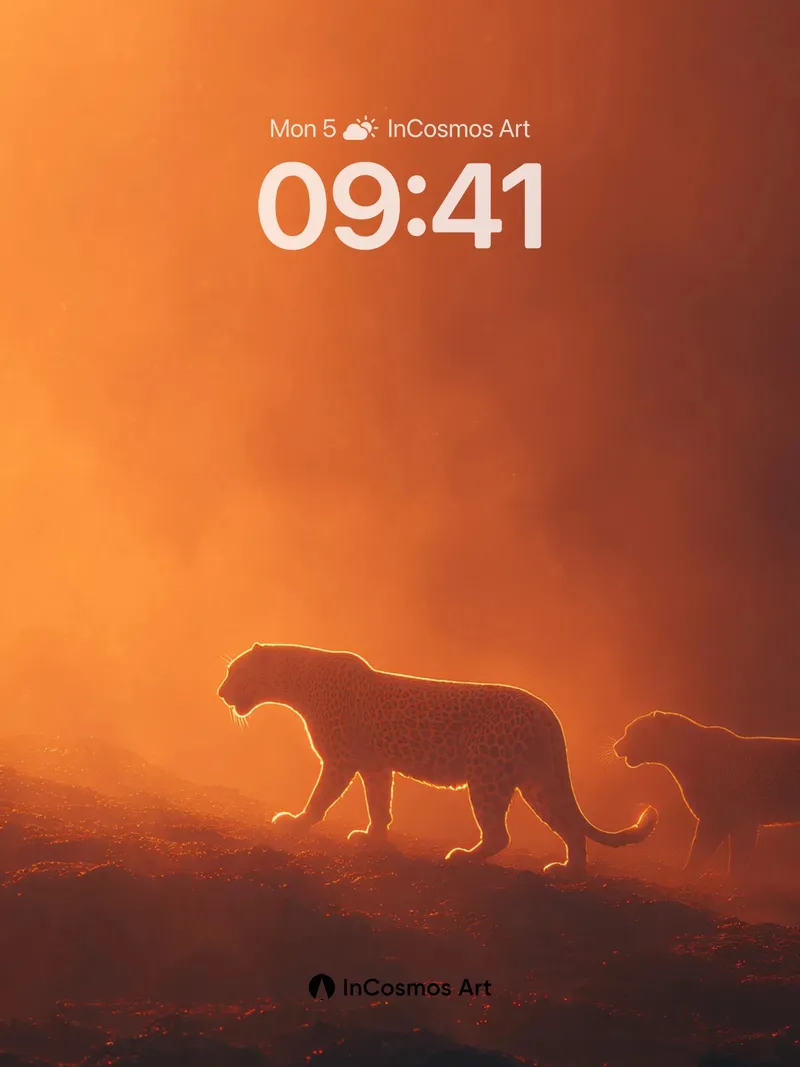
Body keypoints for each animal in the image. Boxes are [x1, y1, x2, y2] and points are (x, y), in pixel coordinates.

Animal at [217, 643, 657, 877]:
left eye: (235, 671)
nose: (221, 692)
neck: (298, 682)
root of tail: (548, 714)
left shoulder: (341, 760)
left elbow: (320, 799)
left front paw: (294, 824)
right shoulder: (375, 766)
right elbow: (379, 805)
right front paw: (373, 838)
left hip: (487, 777)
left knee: (500, 835)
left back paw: (462, 858)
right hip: (538, 782)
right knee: (571, 828)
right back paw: (569, 872)